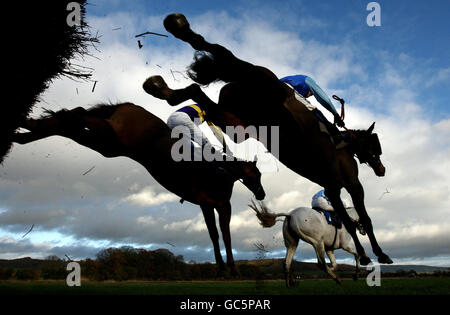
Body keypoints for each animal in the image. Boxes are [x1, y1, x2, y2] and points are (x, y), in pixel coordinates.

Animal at [12, 103, 266, 276]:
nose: (262, 194)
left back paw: (24, 130)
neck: (222, 172)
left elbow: (214, 235)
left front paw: (222, 268)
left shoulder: (207, 205)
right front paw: (232, 269)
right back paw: (28, 125)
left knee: (72, 125)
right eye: (257, 175)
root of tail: (130, 106)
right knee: (78, 114)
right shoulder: (221, 205)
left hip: (109, 145)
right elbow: (225, 235)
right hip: (113, 138)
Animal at [142, 12, 392, 266]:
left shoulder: (345, 186)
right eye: (376, 145)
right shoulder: (338, 186)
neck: (342, 144)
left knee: (197, 90)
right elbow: (352, 221)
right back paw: (180, 28)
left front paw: (375, 253)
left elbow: (361, 219)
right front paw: (369, 254)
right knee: (225, 56)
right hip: (260, 81)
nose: (381, 169)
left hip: (237, 125)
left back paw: (163, 89)